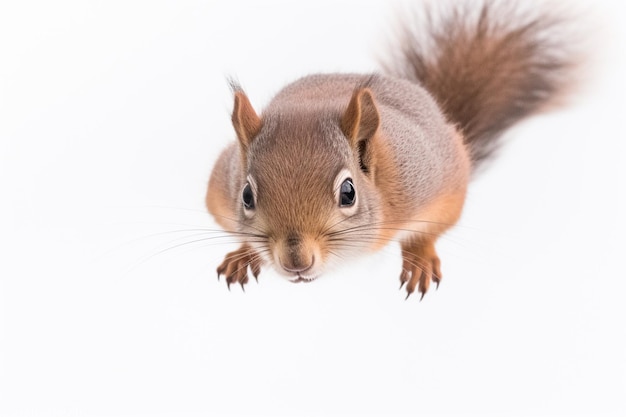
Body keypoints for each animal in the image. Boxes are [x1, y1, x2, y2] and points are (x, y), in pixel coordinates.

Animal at [205, 1, 576, 298]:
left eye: (348, 192)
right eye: (246, 196)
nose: (296, 261)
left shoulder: (433, 181)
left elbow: (431, 229)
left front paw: (420, 256)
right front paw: (244, 253)